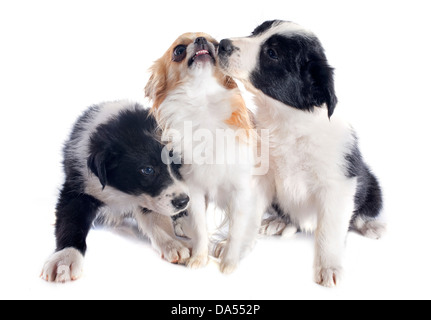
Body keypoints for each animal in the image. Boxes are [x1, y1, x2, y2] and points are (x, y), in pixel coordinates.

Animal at [42, 100, 191, 282]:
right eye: (148, 170)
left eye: (177, 163)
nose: (183, 201)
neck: (122, 193)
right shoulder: (77, 189)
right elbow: (71, 221)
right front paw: (65, 258)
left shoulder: (150, 198)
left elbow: (157, 219)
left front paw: (172, 243)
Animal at [145, 31, 262, 272]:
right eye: (179, 50)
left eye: (216, 45)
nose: (200, 40)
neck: (203, 103)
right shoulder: (195, 191)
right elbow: (200, 228)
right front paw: (199, 257)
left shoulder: (242, 191)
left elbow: (237, 230)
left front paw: (229, 262)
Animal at [221, 21, 386, 288]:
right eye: (255, 32)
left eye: (272, 53)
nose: (222, 44)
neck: (287, 122)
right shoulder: (260, 177)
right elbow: (248, 215)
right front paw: (233, 248)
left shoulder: (337, 185)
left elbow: (330, 230)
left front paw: (329, 266)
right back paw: (279, 222)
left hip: (371, 183)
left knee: (361, 213)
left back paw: (372, 226)